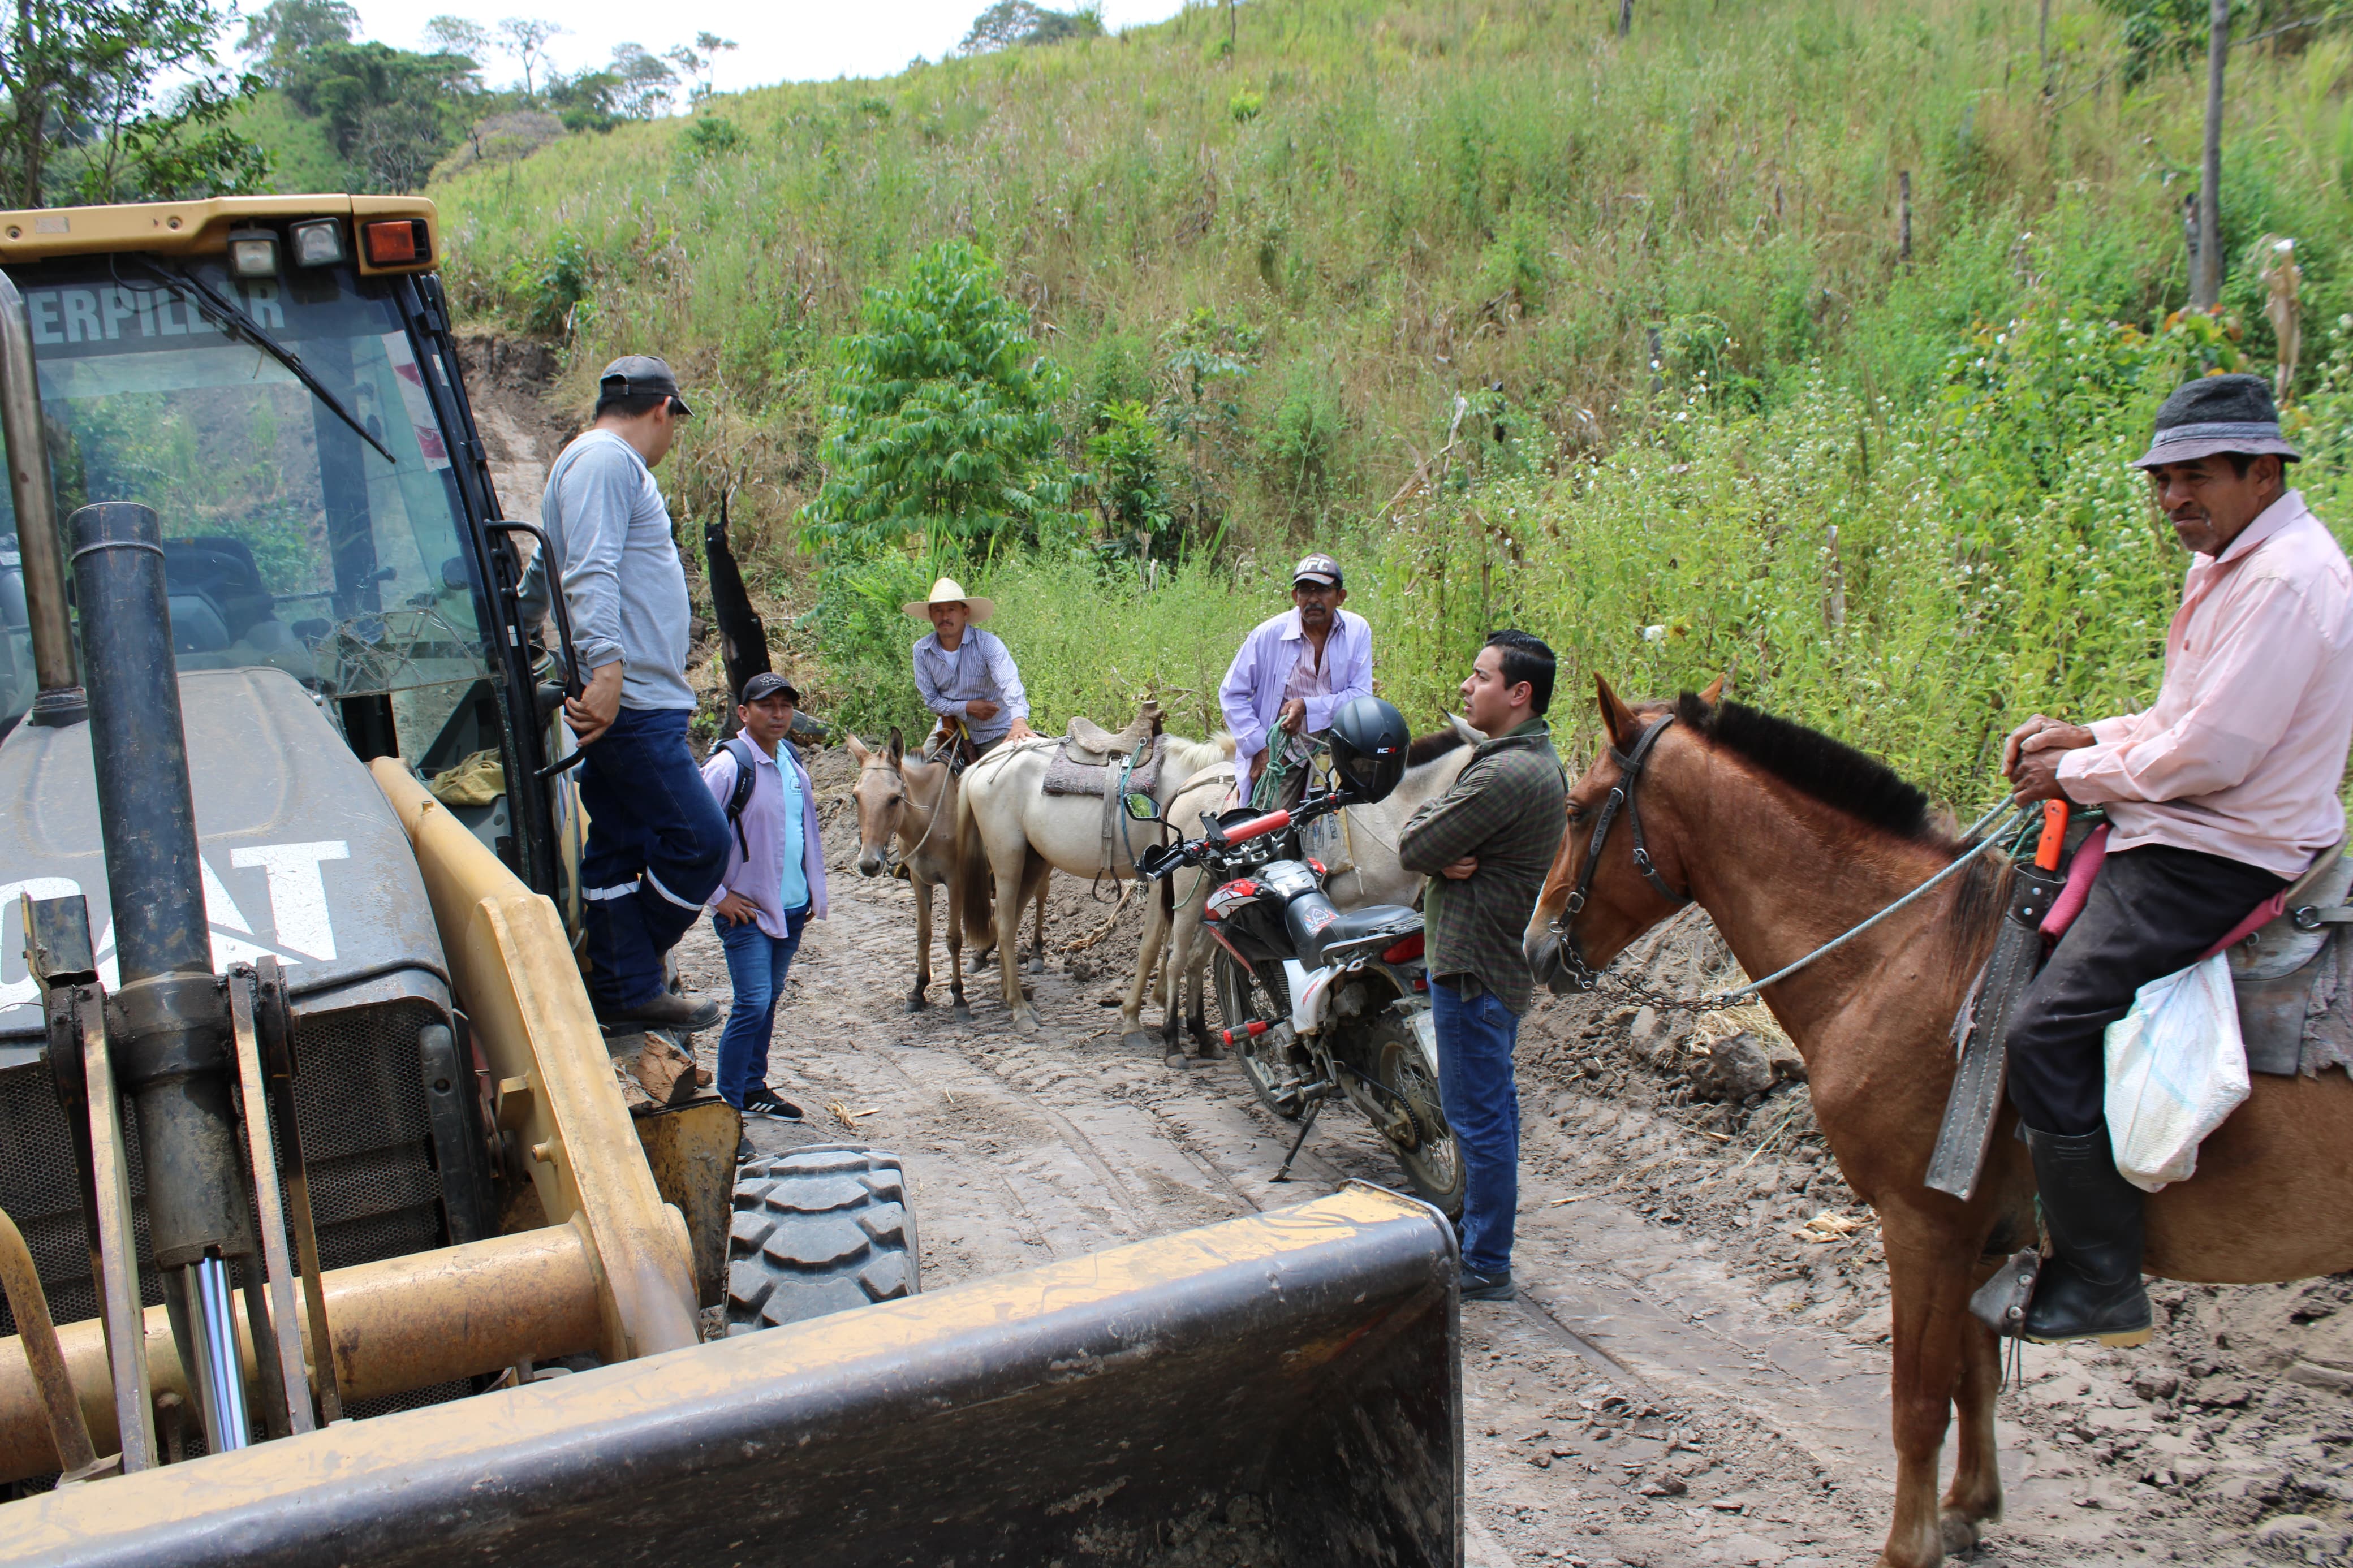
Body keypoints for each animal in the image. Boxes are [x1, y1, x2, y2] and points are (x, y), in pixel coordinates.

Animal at [952, 728, 1235, 1034]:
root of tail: (982, 765)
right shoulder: (1161, 881)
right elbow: (1150, 946)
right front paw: (1132, 1019)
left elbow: (1168, 944)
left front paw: (1163, 1003)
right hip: (1008, 860)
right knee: (1003, 926)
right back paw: (1019, 1009)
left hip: (1033, 862)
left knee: (1010, 921)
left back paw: (1012, 997)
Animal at [1124, 718, 1483, 1064]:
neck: (1388, 815)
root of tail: (1188, 786)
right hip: (1190, 896)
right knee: (1176, 959)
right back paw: (1173, 1042)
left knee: (1197, 960)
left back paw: (1204, 1038)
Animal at [1523, 675, 2353, 1568]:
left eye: (1577, 809)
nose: (1536, 948)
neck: (1902, 953)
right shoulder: (1982, 1230)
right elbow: (1974, 1374)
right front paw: (1967, 1507)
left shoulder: (1923, 1223)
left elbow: (1918, 1397)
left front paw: (1907, 1546)